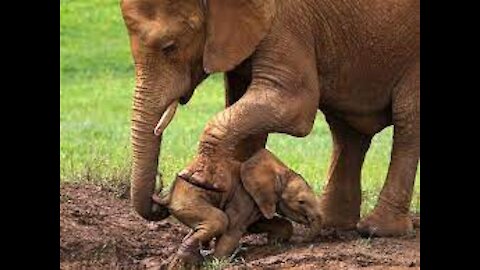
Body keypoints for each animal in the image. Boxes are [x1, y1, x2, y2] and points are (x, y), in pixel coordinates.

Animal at [121, 0, 420, 236]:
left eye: (169, 47)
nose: (160, 196)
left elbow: (292, 104)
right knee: (346, 132)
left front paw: (197, 179)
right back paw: (334, 224)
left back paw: (378, 230)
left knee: (407, 121)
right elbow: (244, 112)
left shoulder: (287, 22)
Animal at [154, 149, 322, 268]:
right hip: (189, 200)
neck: (279, 171)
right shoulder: (243, 195)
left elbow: (255, 224)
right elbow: (233, 229)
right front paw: (215, 262)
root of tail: (168, 195)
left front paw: (275, 242)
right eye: (301, 202)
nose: (305, 242)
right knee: (219, 221)